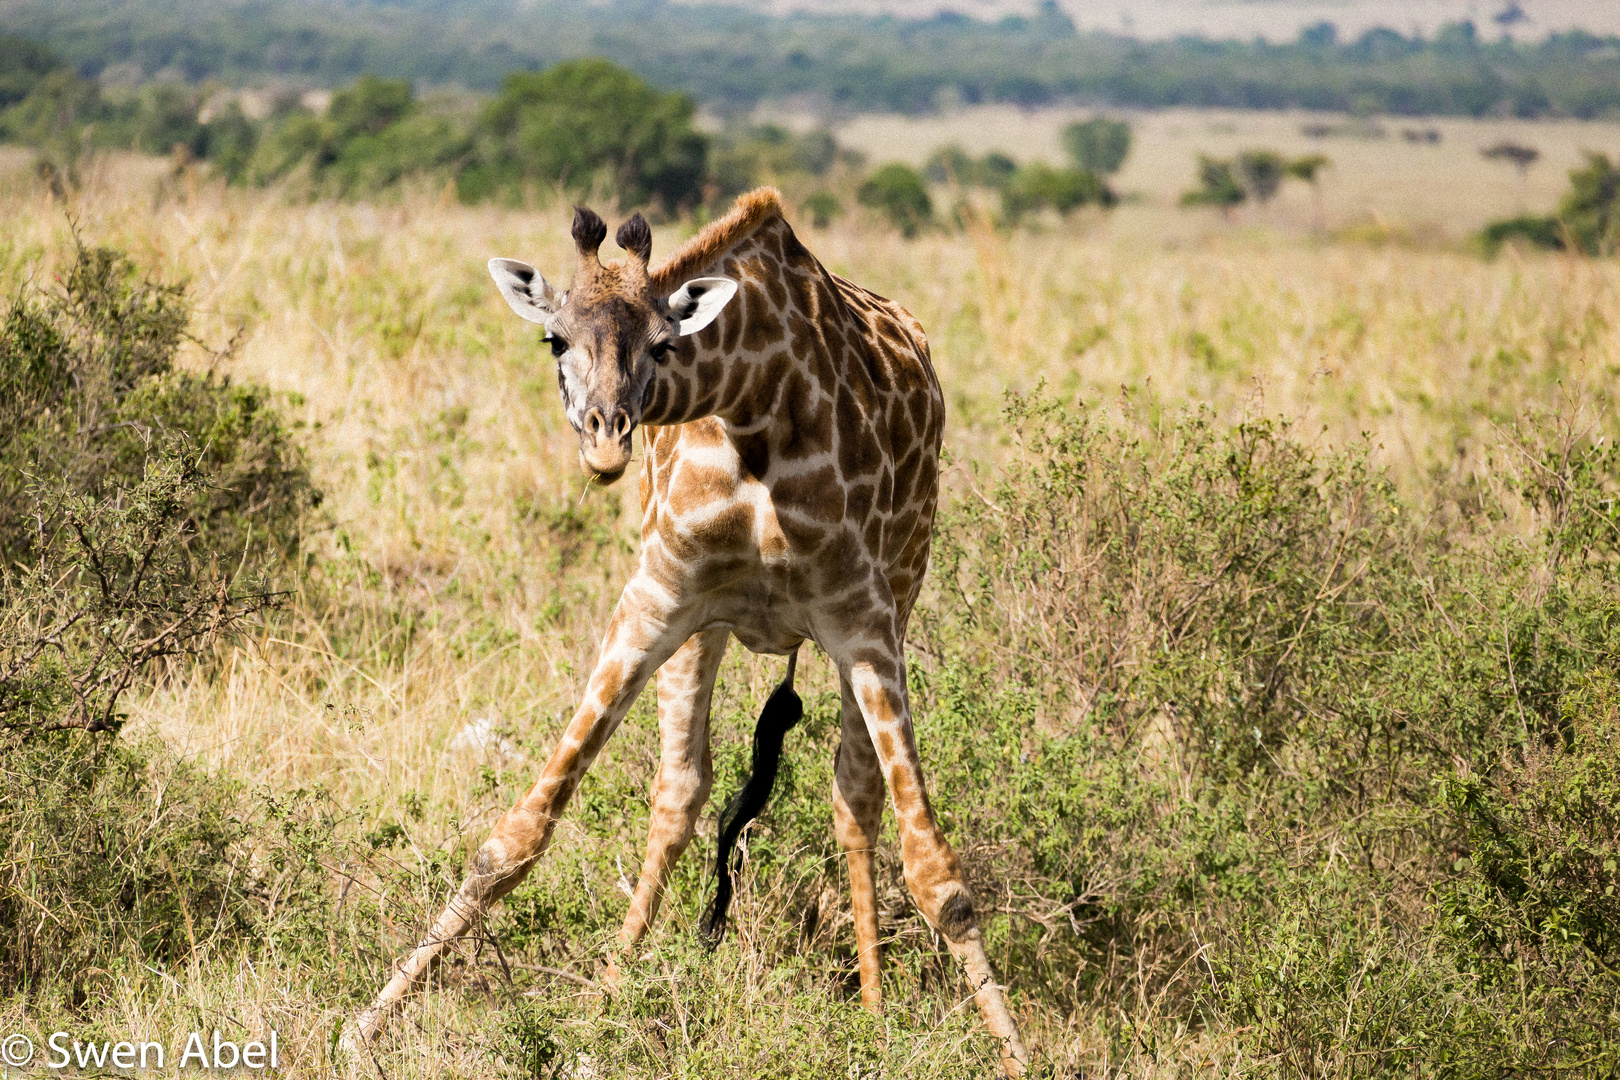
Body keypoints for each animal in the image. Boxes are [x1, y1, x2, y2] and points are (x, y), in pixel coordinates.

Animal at [359, 190, 1030, 1075]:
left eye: (663, 342)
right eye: (554, 338)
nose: (607, 438)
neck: (755, 408)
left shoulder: (864, 618)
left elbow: (938, 876)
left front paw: (1017, 1053)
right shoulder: (657, 595)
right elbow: (517, 835)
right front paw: (364, 1024)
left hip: (902, 584)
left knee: (853, 800)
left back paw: (874, 1009)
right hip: (701, 631)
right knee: (681, 793)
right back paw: (608, 995)